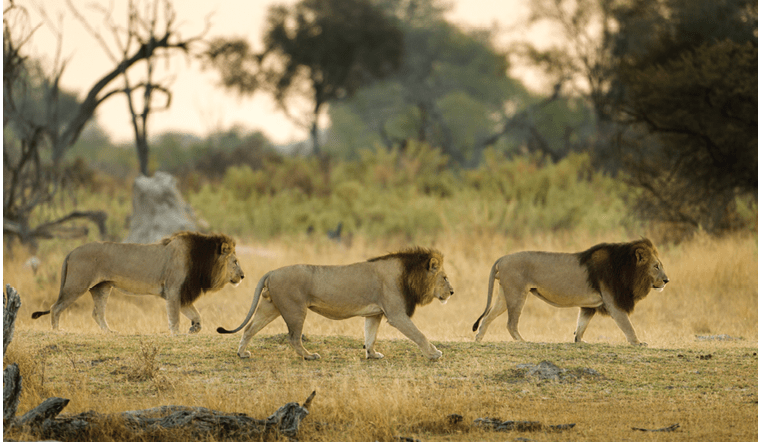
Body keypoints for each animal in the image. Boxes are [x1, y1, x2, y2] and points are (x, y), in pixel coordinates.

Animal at [32, 231, 244, 334]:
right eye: (235, 262)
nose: (242, 276)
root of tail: (71, 251)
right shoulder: (174, 290)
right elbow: (175, 317)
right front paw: (177, 333)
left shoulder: (180, 293)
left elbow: (196, 315)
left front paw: (194, 328)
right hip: (77, 284)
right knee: (55, 307)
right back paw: (57, 331)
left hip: (101, 288)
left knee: (97, 313)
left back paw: (110, 332)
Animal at [217, 247, 454, 360]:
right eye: (444, 277)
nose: (452, 292)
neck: (409, 274)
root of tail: (272, 271)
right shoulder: (396, 314)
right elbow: (419, 334)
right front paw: (434, 354)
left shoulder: (374, 314)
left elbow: (370, 336)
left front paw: (372, 355)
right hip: (295, 309)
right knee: (293, 337)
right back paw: (309, 356)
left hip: (270, 307)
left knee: (249, 328)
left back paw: (242, 353)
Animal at [472, 238, 669, 345]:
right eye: (656, 266)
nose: (667, 280)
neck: (626, 269)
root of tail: (502, 258)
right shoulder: (613, 302)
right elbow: (627, 325)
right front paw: (638, 343)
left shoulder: (589, 306)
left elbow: (581, 324)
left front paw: (579, 341)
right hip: (517, 293)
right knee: (511, 323)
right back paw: (523, 341)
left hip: (504, 294)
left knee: (487, 317)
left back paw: (478, 339)